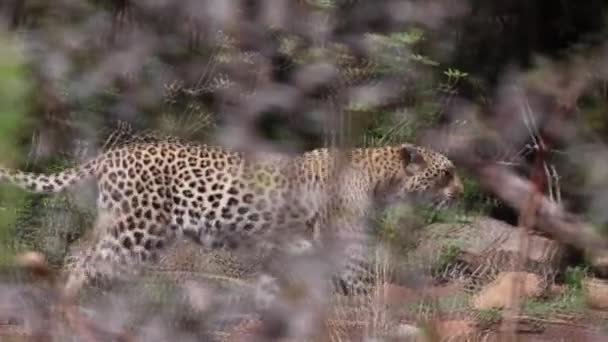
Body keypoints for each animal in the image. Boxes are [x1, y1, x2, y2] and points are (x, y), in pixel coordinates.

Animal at [0, 138, 460, 300]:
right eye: (447, 173)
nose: (461, 191)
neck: (381, 177)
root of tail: (113, 153)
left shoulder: (292, 246)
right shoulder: (344, 244)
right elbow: (361, 281)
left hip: (125, 224)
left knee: (80, 251)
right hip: (138, 228)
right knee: (87, 260)